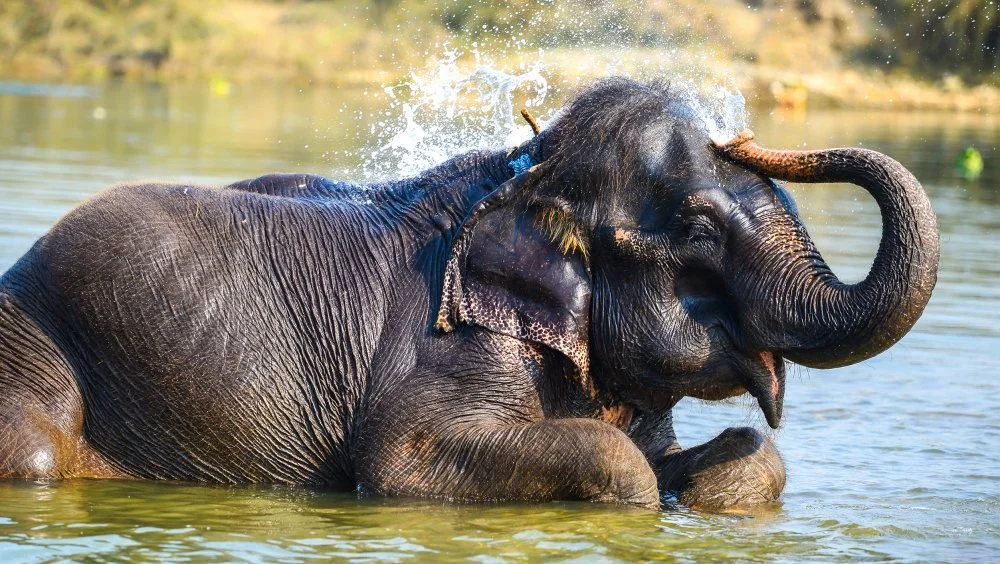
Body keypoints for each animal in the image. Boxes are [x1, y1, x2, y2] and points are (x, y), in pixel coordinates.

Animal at [0, 77, 938, 509]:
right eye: (700, 229)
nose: (746, 134)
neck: (529, 172)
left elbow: (745, 460)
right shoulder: (452, 345)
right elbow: (404, 463)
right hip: (29, 340)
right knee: (36, 455)